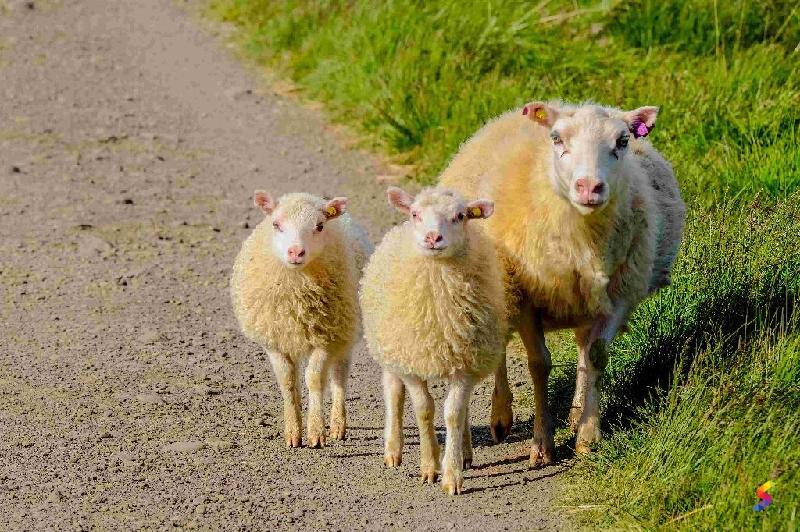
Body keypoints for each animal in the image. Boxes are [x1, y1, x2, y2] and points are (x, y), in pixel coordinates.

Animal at [230, 191, 370, 448]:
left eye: (320, 226)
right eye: (276, 224)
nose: (296, 252)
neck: (297, 295)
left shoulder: (326, 337)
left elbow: (314, 380)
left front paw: (316, 432)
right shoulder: (275, 342)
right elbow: (287, 382)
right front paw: (293, 432)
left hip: (345, 332)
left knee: (339, 377)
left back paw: (338, 425)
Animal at [359, 186, 507, 495]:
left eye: (461, 216)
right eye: (416, 214)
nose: (432, 238)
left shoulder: (465, 365)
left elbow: (454, 413)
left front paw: (452, 474)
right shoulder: (411, 364)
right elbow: (424, 410)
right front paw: (429, 466)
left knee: (461, 409)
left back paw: (465, 453)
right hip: (391, 350)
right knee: (393, 391)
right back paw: (393, 449)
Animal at [438, 100, 686, 463]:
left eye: (623, 141)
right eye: (557, 139)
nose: (589, 187)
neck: (582, 236)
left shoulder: (619, 296)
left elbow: (596, 356)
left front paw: (587, 435)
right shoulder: (524, 296)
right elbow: (539, 364)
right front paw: (542, 444)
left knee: (582, 347)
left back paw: (576, 411)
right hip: (494, 289)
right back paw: (498, 419)